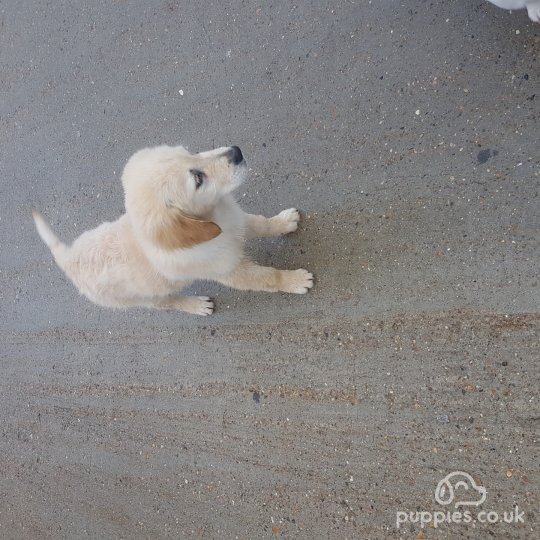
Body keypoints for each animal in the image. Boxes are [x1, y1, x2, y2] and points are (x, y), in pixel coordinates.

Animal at [32, 143, 312, 314]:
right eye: (198, 179)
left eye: (190, 152)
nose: (236, 151)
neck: (211, 219)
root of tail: (68, 257)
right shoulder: (231, 272)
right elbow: (268, 277)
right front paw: (295, 281)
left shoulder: (237, 221)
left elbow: (262, 223)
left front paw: (285, 221)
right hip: (144, 298)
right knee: (166, 304)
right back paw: (196, 306)